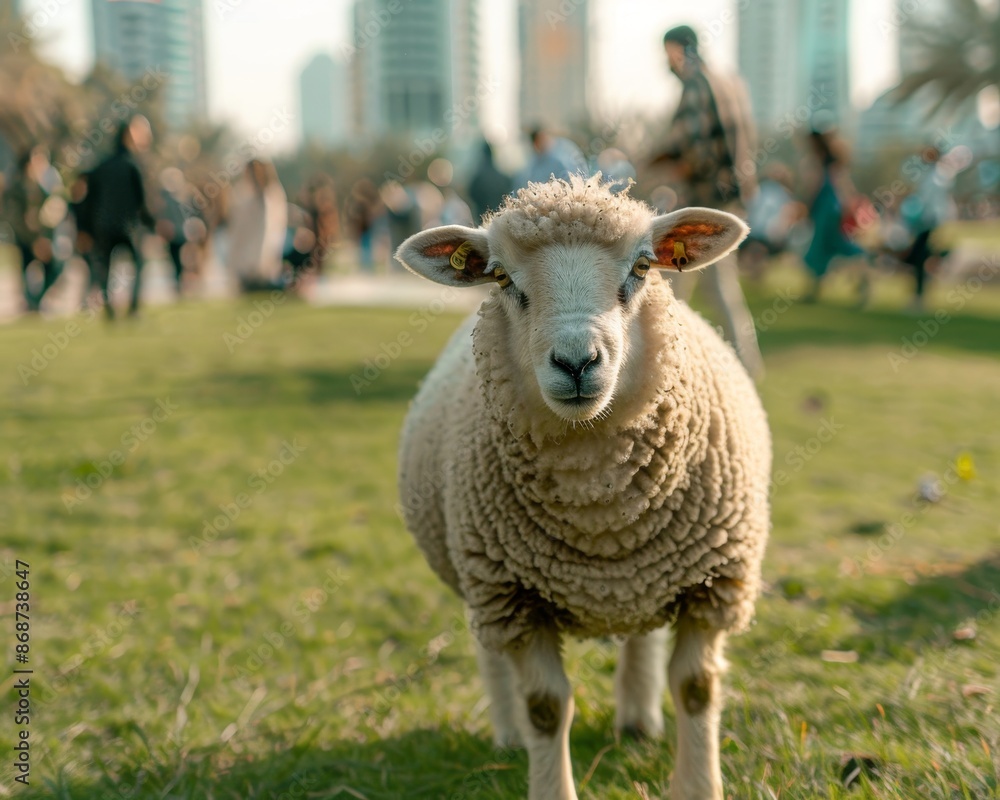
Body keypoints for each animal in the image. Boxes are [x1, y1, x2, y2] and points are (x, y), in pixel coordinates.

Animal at [395, 176, 771, 800]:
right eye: (502, 278)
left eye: (642, 267)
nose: (576, 362)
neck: (601, 505)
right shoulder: (513, 595)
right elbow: (547, 706)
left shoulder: (712, 583)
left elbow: (696, 689)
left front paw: (697, 784)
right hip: (476, 576)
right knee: (491, 653)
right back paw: (510, 735)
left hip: (653, 567)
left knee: (642, 635)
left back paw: (638, 719)